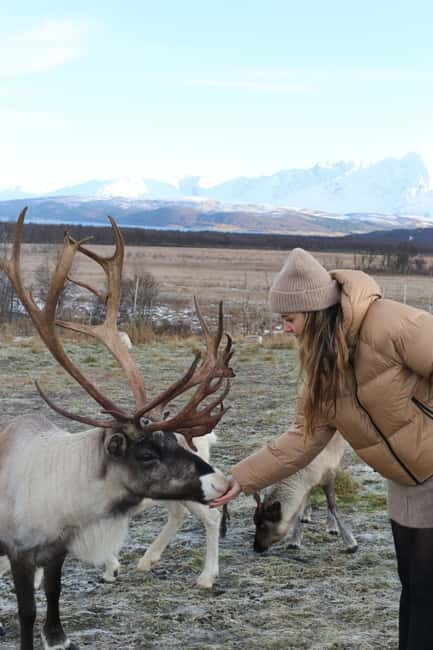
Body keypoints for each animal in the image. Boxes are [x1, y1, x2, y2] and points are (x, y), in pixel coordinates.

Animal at [0, 208, 234, 650]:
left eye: (169, 442)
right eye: (146, 453)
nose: (223, 482)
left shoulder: (50, 550)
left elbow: (46, 601)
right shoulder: (25, 551)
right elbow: (32, 609)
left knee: (206, 518)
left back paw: (202, 575)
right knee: (184, 514)